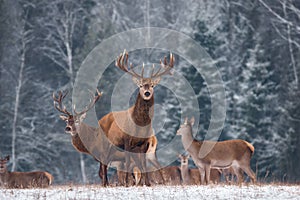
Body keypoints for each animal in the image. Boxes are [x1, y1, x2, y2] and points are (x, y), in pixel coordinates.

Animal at [98, 50, 173, 186]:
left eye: (152, 85)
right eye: (141, 86)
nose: (147, 93)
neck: (140, 124)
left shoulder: (143, 144)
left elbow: (143, 164)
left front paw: (147, 183)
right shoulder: (127, 140)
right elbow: (128, 163)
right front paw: (127, 183)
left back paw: (106, 183)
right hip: (105, 142)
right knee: (103, 161)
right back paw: (105, 183)